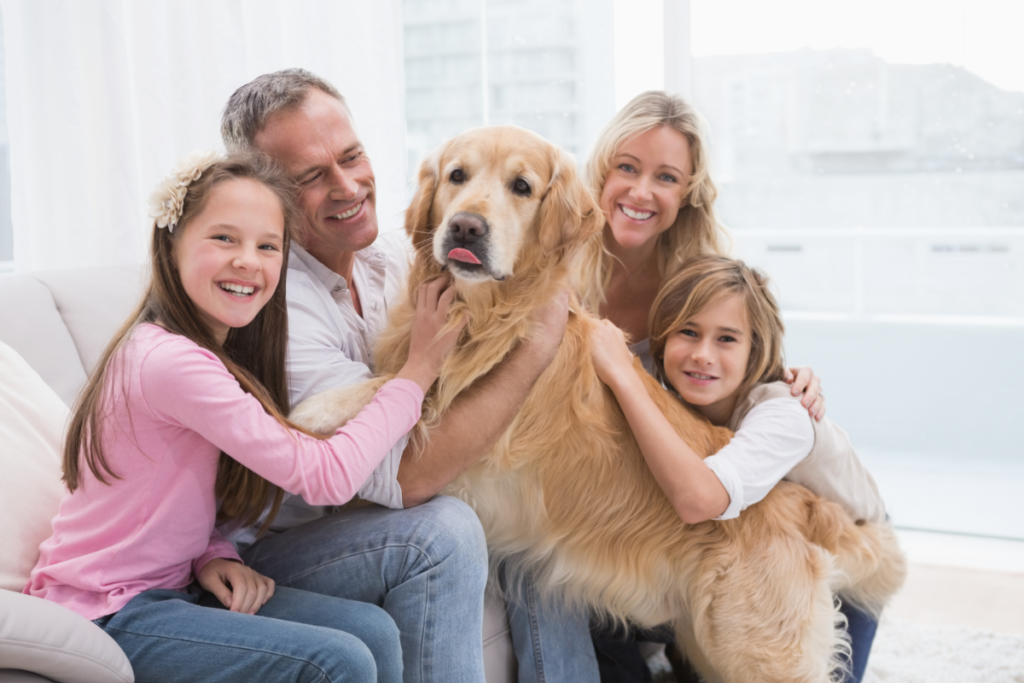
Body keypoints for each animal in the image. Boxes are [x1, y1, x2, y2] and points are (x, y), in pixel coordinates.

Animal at [292, 125, 909, 679]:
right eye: (456, 176)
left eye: (522, 186)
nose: (466, 224)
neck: (487, 315)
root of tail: (795, 503)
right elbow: (400, 382)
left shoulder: (470, 433)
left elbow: (402, 393)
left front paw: (317, 410)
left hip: (756, 651)